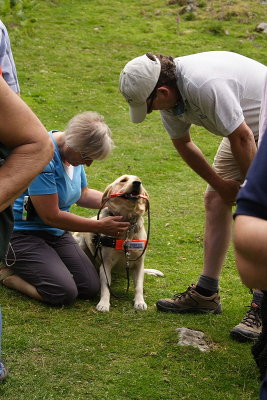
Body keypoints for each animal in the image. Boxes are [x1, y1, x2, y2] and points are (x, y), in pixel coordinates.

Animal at [74, 175, 164, 312]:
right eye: (123, 180)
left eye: (139, 180)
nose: (137, 183)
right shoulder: (106, 263)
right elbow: (106, 286)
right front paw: (104, 303)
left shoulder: (139, 263)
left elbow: (138, 286)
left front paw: (140, 302)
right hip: (80, 243)